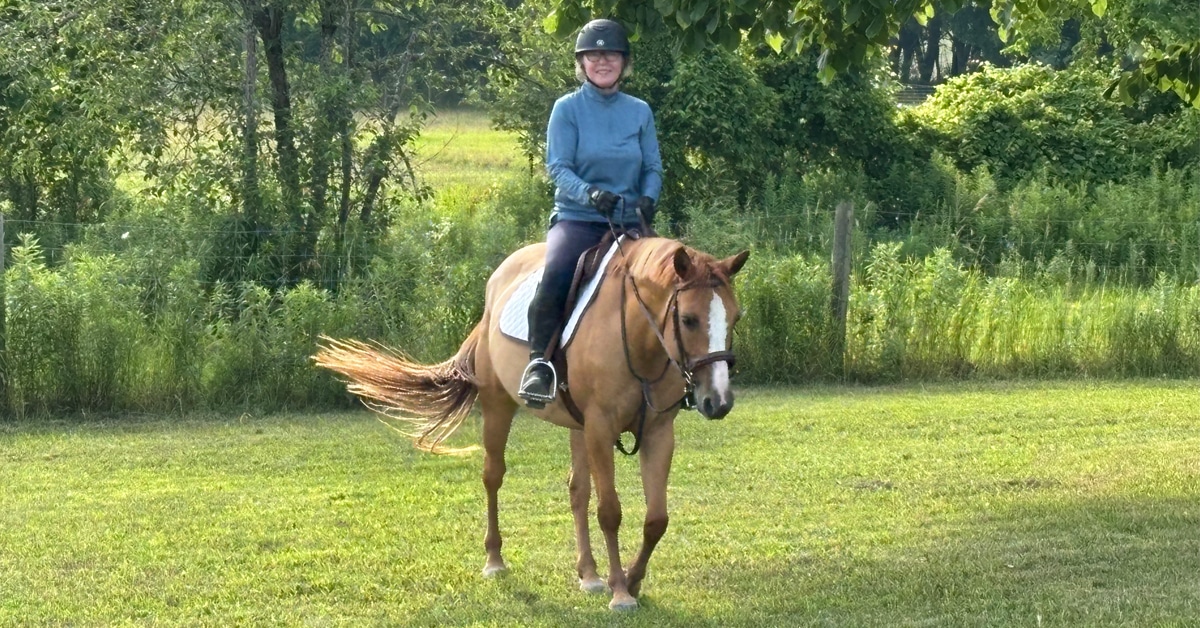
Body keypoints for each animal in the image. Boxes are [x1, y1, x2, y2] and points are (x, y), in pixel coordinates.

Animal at [313, 234, 749, 611]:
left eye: (735, 317)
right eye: (689, 319)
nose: (718, 401)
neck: (635, 336)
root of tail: (495, 288)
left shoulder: (657, 433)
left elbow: (656, 519)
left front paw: (631, 579)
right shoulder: (600, 428)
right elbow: (610, 511)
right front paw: (621, 592)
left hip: (577, 428)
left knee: (577, 491)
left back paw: (589, 574)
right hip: (499, 406)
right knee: (493, 476)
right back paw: (495, 560)